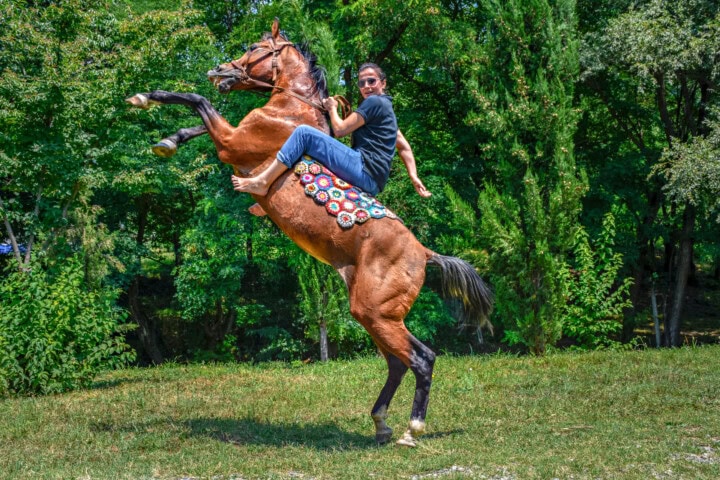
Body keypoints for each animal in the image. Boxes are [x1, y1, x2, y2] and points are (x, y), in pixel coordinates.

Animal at [126, 18, 493, 448]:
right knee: (398, 363)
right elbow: (199, 120)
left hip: (375, 312)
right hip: (377, 315)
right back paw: (381, 423)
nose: (220, 71)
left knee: (421, 358)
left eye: (255, 47)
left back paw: (411, 429)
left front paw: (144, 98)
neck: (292, 110)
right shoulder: (233, 135)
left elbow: (198, 102)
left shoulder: (232, 142)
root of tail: (425, 252)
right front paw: (168, 141)